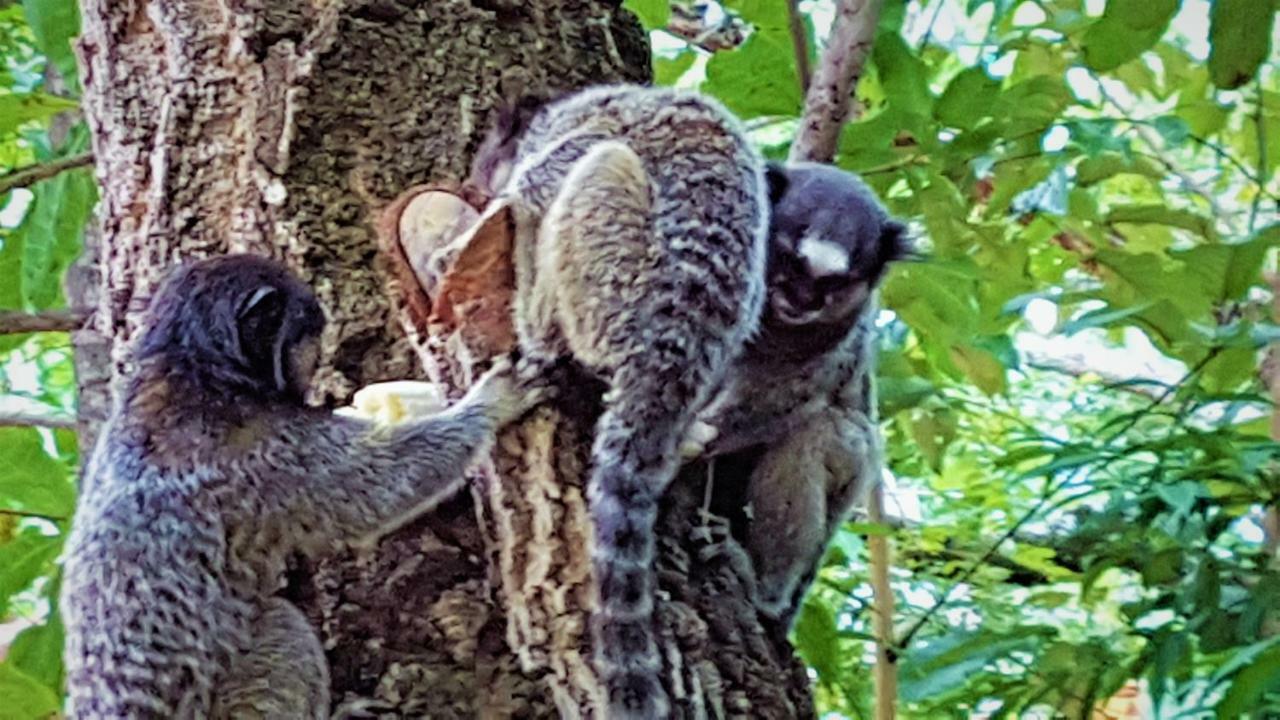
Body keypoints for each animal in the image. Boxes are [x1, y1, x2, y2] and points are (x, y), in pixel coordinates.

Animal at [62, 254, 542, 712]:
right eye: (310, 331)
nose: (315, 358)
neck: (196, 371)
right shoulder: (261, 450)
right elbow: (375, 488)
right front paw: (488, 405)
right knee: (283, 625)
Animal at [460, 85, 768, 717]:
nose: (474, 188)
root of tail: (671, 352)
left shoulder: (569, 134)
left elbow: (543, 177)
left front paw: (497, 205)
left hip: (613, 282)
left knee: (599, 167)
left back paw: (537, 327)